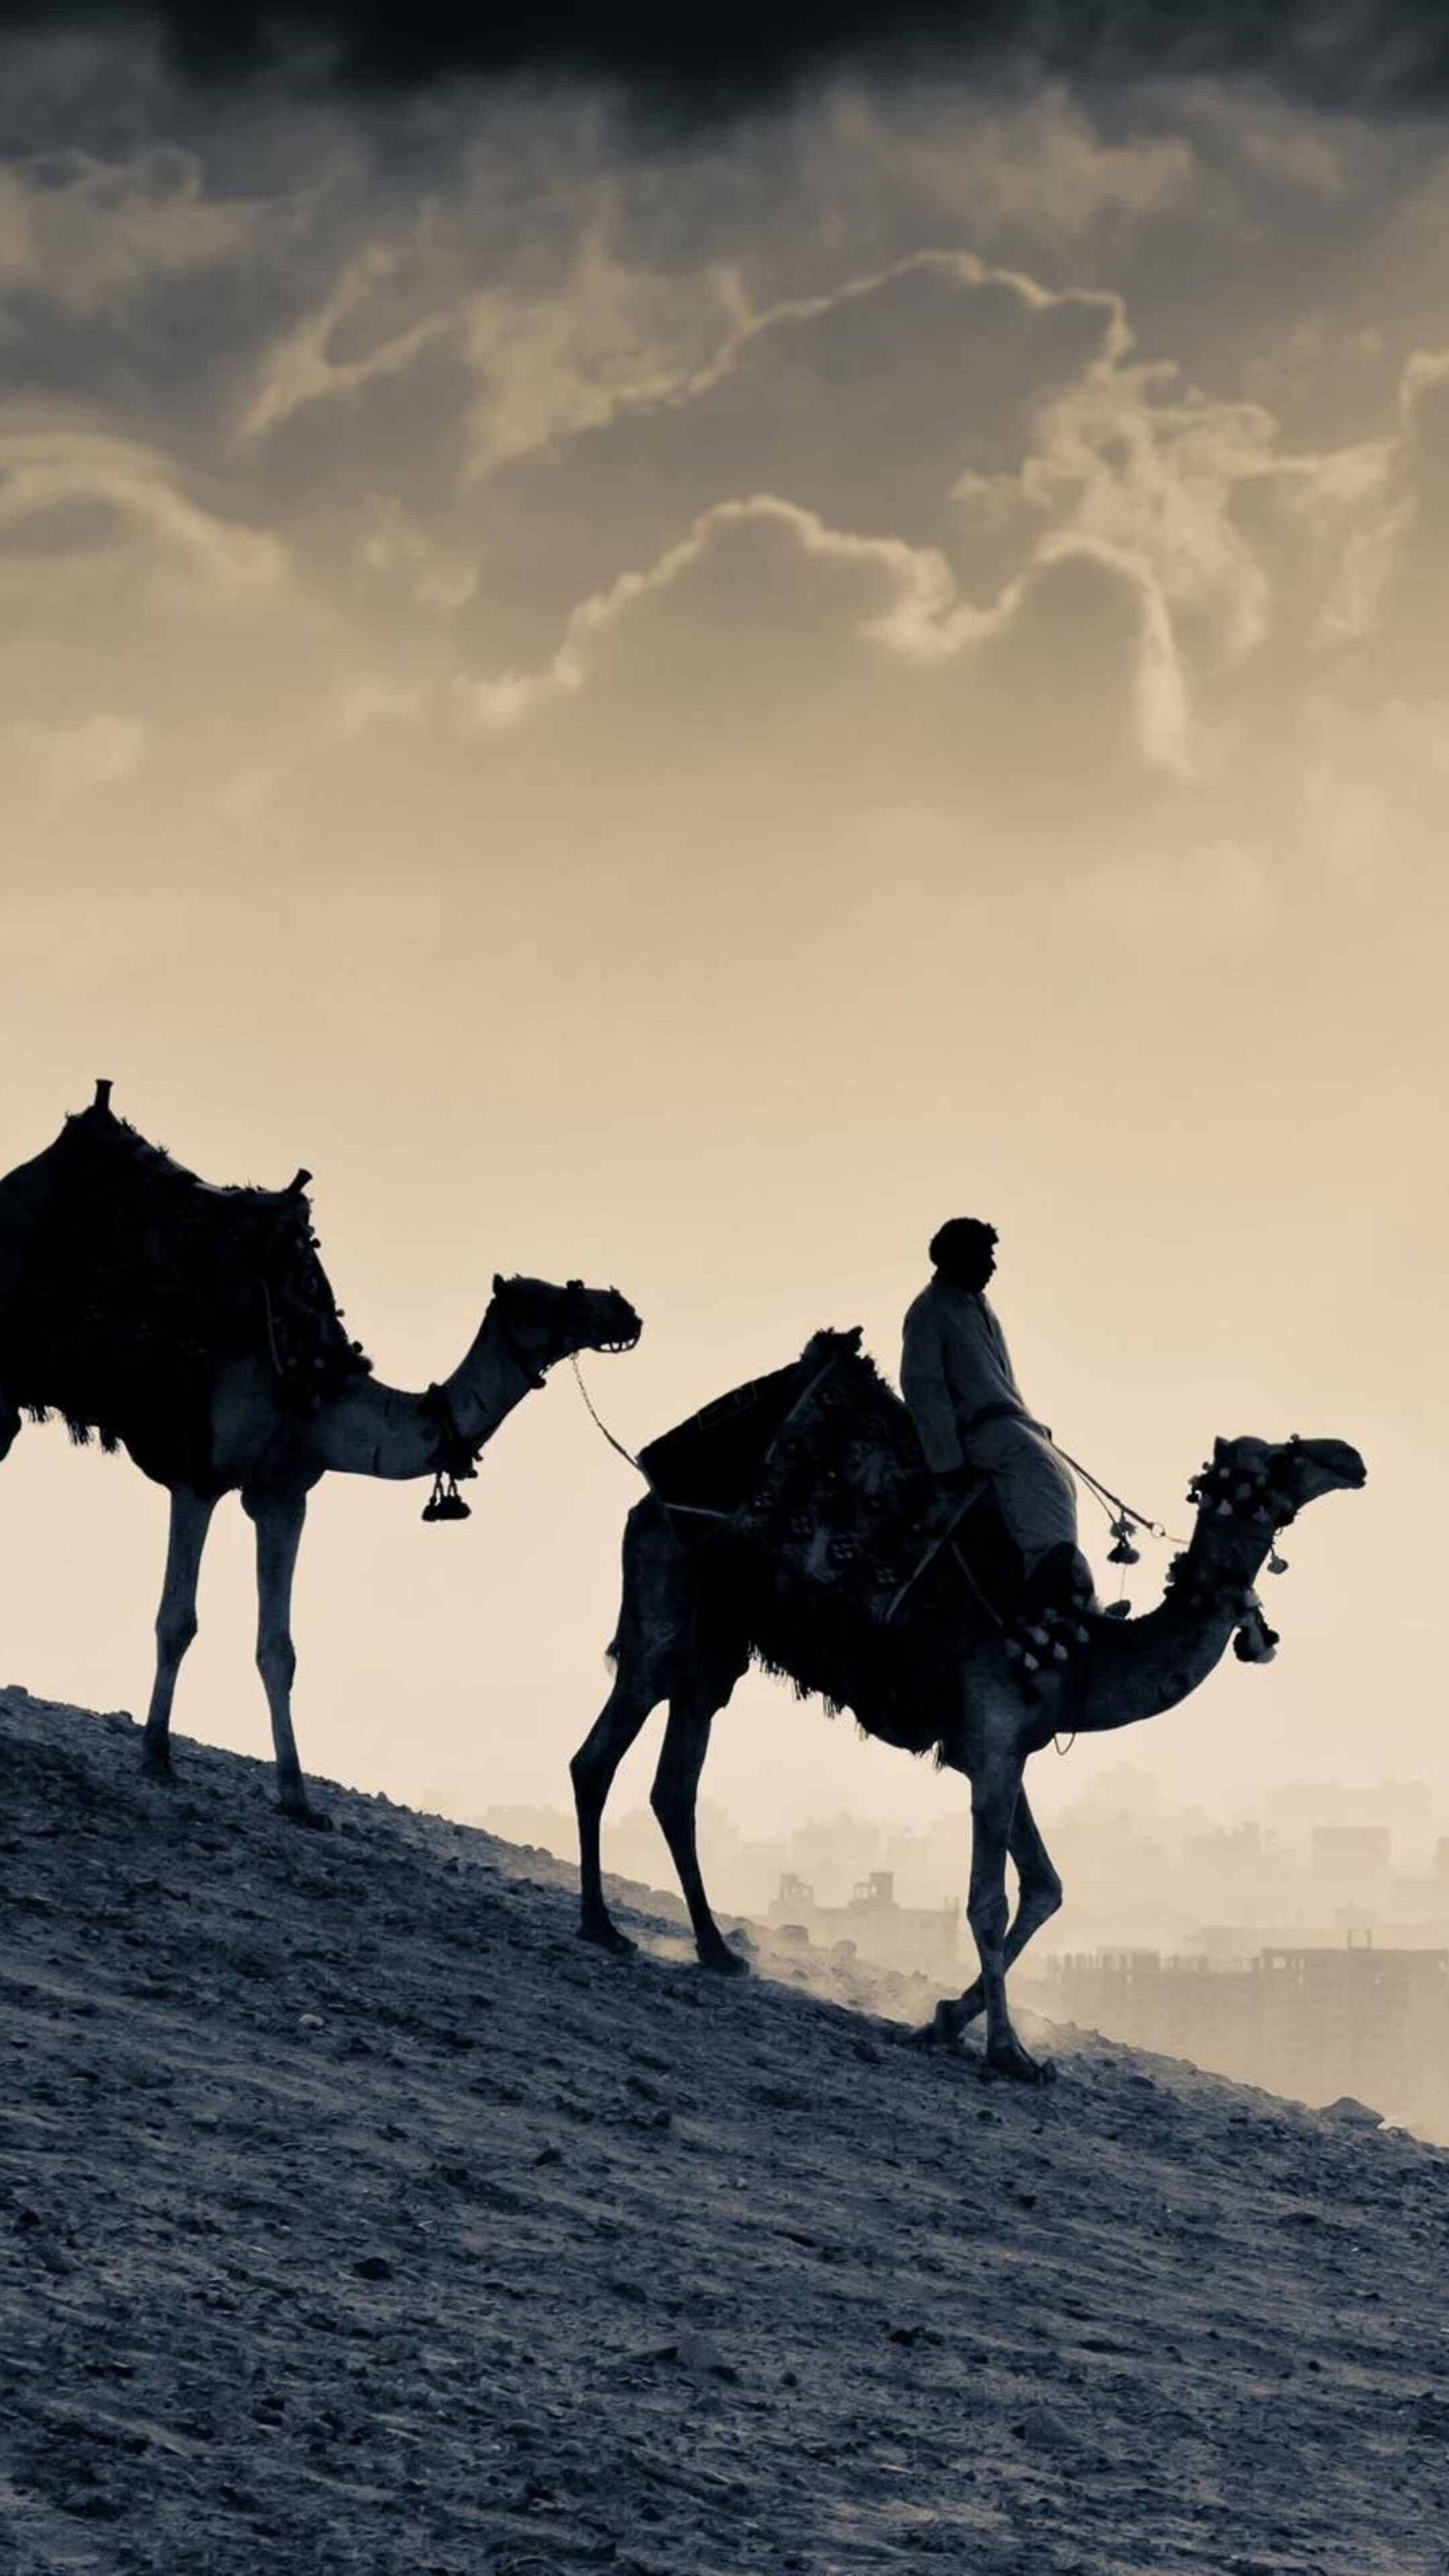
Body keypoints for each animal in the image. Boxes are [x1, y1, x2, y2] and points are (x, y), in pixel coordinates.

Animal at [0, 1083, 641, 1825]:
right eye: (546, 1297)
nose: (625, 1310)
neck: (315, 1380)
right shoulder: (200, 1473)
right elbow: (177, 1622)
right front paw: (157, 1756)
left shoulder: (283, 1493)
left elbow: (278, 1649)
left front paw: (297, 1797)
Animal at [571, 1338, 1364, 2081]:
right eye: (1280, 1457)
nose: (1350, 1457)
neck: (1080, 1653)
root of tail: (650, 1494)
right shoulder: (993, 1740)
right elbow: (989, 1898)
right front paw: (1009, 2053)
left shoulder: (999, 1748)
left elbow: (1045, 1887)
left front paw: (946, 2020)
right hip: (669, 1611)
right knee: (598, 1757)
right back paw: (601, 1927)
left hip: (714, 1646)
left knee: (675, 1783)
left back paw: (715, 1951)